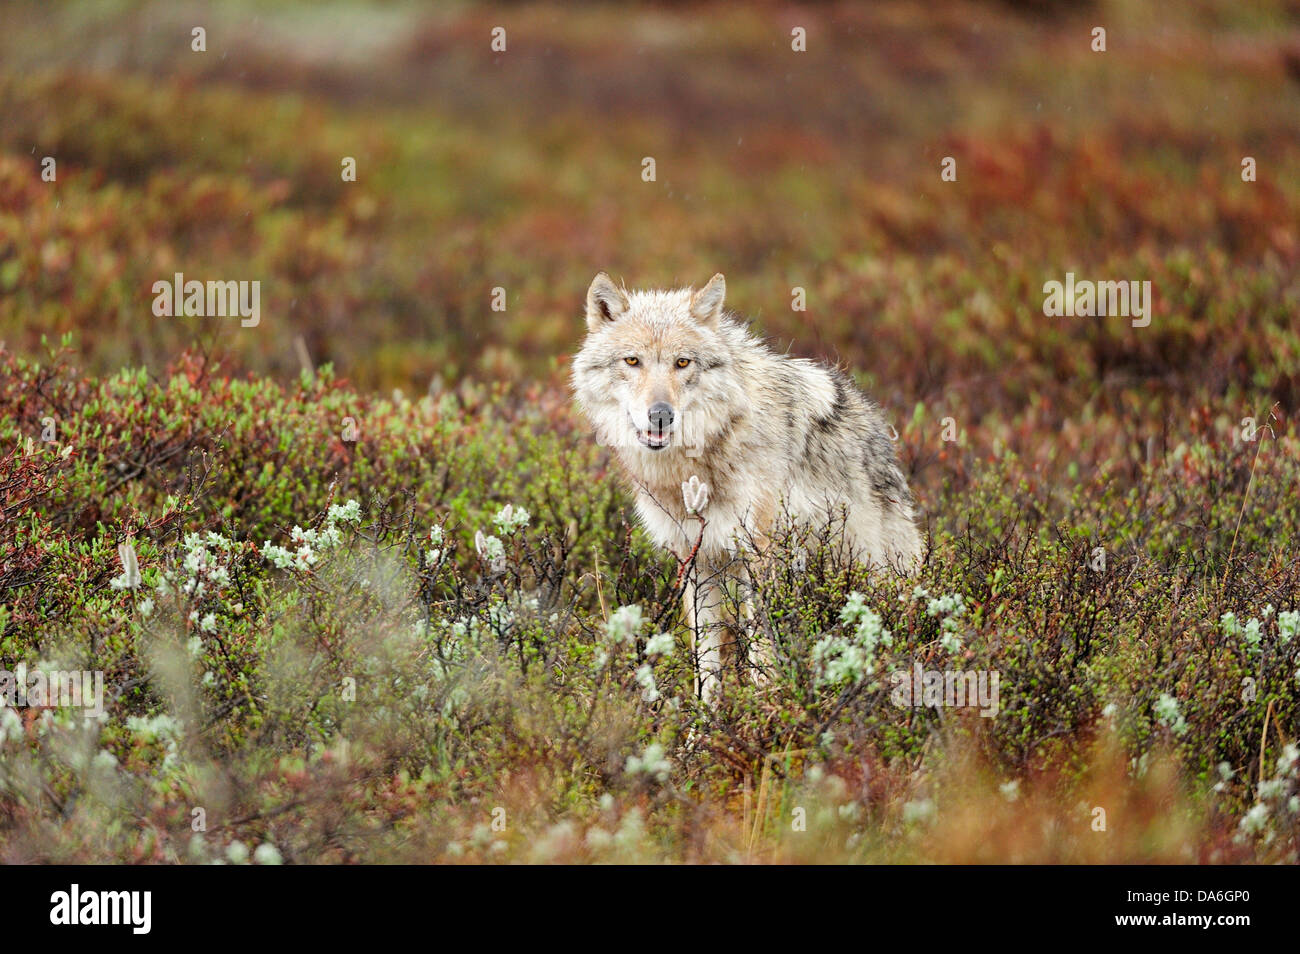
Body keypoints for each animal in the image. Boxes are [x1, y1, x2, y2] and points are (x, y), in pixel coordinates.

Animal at [569, 272, 925, 707]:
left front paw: (765, 710)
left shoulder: (762, 554)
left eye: (682, 362)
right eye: (632, 361)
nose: (661, 415)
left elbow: (763, 654)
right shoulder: (696, 560)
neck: (699, 462)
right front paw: (704, 723)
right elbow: (706, 660)